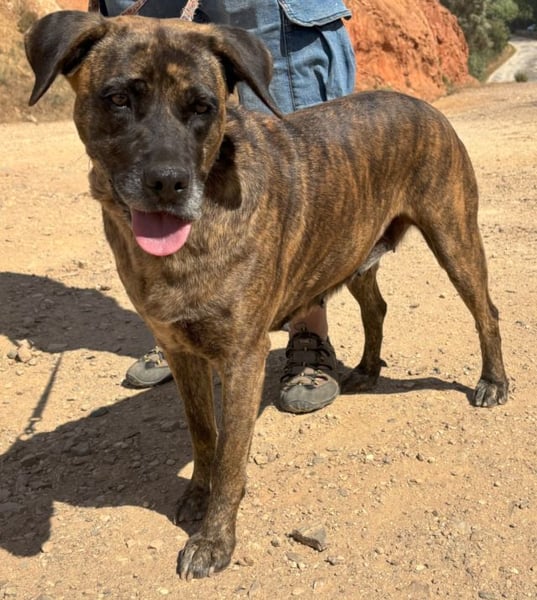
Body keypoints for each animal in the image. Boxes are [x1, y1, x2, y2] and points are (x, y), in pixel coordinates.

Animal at [25, 11, 509, 579]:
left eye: (204, 107)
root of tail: (425, 105)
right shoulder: (180, 351)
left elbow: (232, 456)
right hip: (354, 248)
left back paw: (492, 382)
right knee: (376, 306)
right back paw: (368, 370)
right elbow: (203, 434)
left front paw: (213, 540)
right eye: (118, 98)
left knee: (486, 312)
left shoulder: (242, 358)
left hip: (453, 237)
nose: (168, 183)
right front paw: (197, 494)